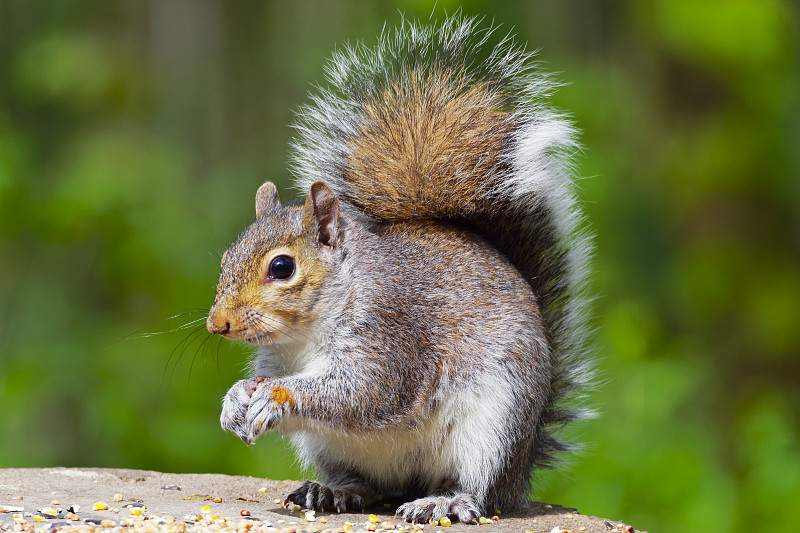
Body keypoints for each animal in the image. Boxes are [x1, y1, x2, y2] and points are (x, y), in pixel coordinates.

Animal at [206, 15, 592, 524]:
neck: (306, 333)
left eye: (282, 267)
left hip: (495, 426)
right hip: (330, 448)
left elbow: (365, 393)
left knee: (479, 489)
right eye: (226, 259)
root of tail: (522, 468)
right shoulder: (275, 357)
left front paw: (277, 396)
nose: (217, 324)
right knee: (368, 487)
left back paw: (445, 500)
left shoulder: (390, 334)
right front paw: (235, 398)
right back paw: (333, 491)